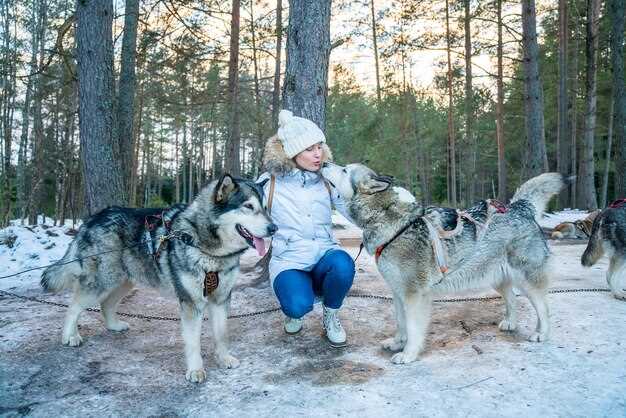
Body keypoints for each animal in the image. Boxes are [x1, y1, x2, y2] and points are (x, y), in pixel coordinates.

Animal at [39, 175, 272, 384]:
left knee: (106, 305)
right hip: (102, 283)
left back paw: (114, 326)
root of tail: (92, 218)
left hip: (125, 281)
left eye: (265, 208)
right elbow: (193, 342)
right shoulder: (191, 303)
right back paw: (70, 337)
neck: (207, 248)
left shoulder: (221, 299)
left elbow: (222, 334)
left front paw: (224, 359)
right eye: (248, 206)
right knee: (74, 306)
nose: (274, 228)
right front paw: (195, 371)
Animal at [320, 163, 568, 366]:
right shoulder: (398, 293)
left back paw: (541, 334)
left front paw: (408, 354)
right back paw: (510, 323)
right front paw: (398, 343)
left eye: (344, 169)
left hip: (527, 281)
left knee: (544, 308)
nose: (324, 162)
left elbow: (413, 328)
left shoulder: (414, 295)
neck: (392, 223)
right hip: (497, 279)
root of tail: (520, 207)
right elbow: (401, 323)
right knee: (512, 299)